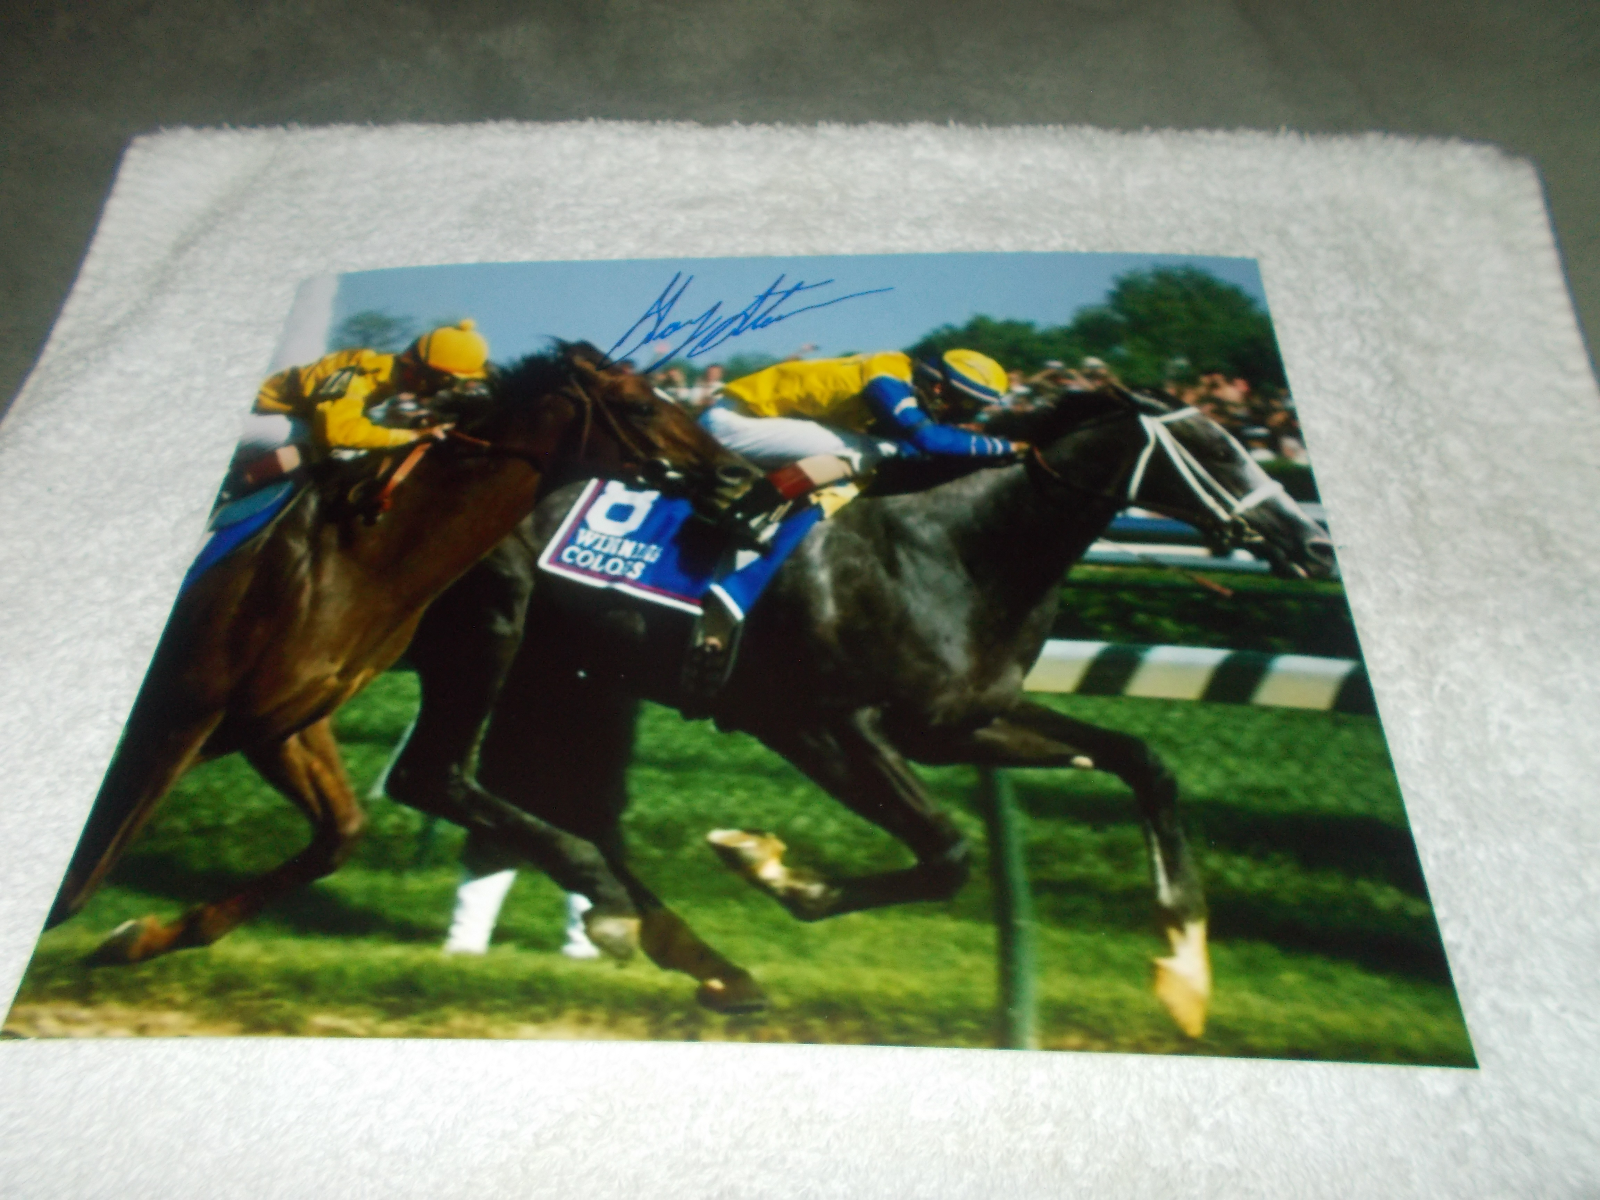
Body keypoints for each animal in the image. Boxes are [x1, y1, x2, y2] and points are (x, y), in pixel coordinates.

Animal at [46, 342, 748, 966]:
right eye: (640, 405)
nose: (737, 475)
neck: (358, 553)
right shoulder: (179, 718)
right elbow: (81, 879)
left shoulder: (280, 723)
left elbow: (341, 835)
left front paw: (140, 937)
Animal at [393, 390, 1331, 1036]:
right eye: (1217, 449)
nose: (1316, 543)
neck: (957, 549)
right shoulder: (822, 724)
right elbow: (948, 854)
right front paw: (777, 871)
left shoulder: (955, 724)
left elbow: (1143, 760)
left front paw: (1186, 969)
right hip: (486, 633)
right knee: (434, 776)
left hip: (560, 667)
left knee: (551, 798)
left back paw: (669, 942)